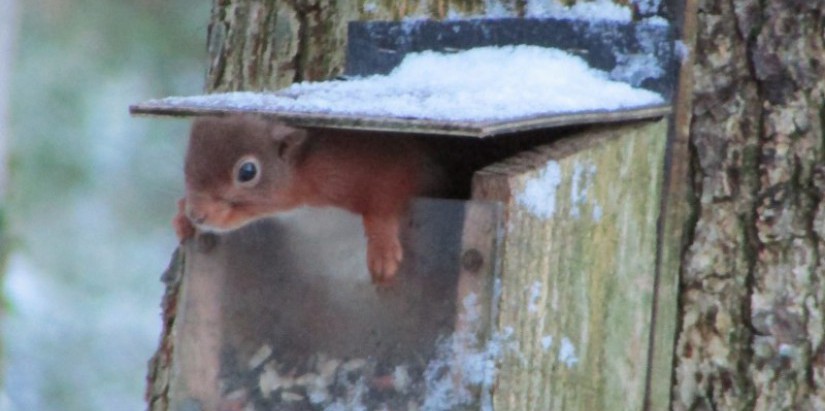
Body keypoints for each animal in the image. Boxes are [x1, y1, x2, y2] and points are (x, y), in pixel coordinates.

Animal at [172, 114, 432, 284]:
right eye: (186, 163)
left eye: (247, 172)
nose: (197, 215)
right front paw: (182, 216)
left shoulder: (379, 162)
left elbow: (383, 201)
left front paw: (382, 247)